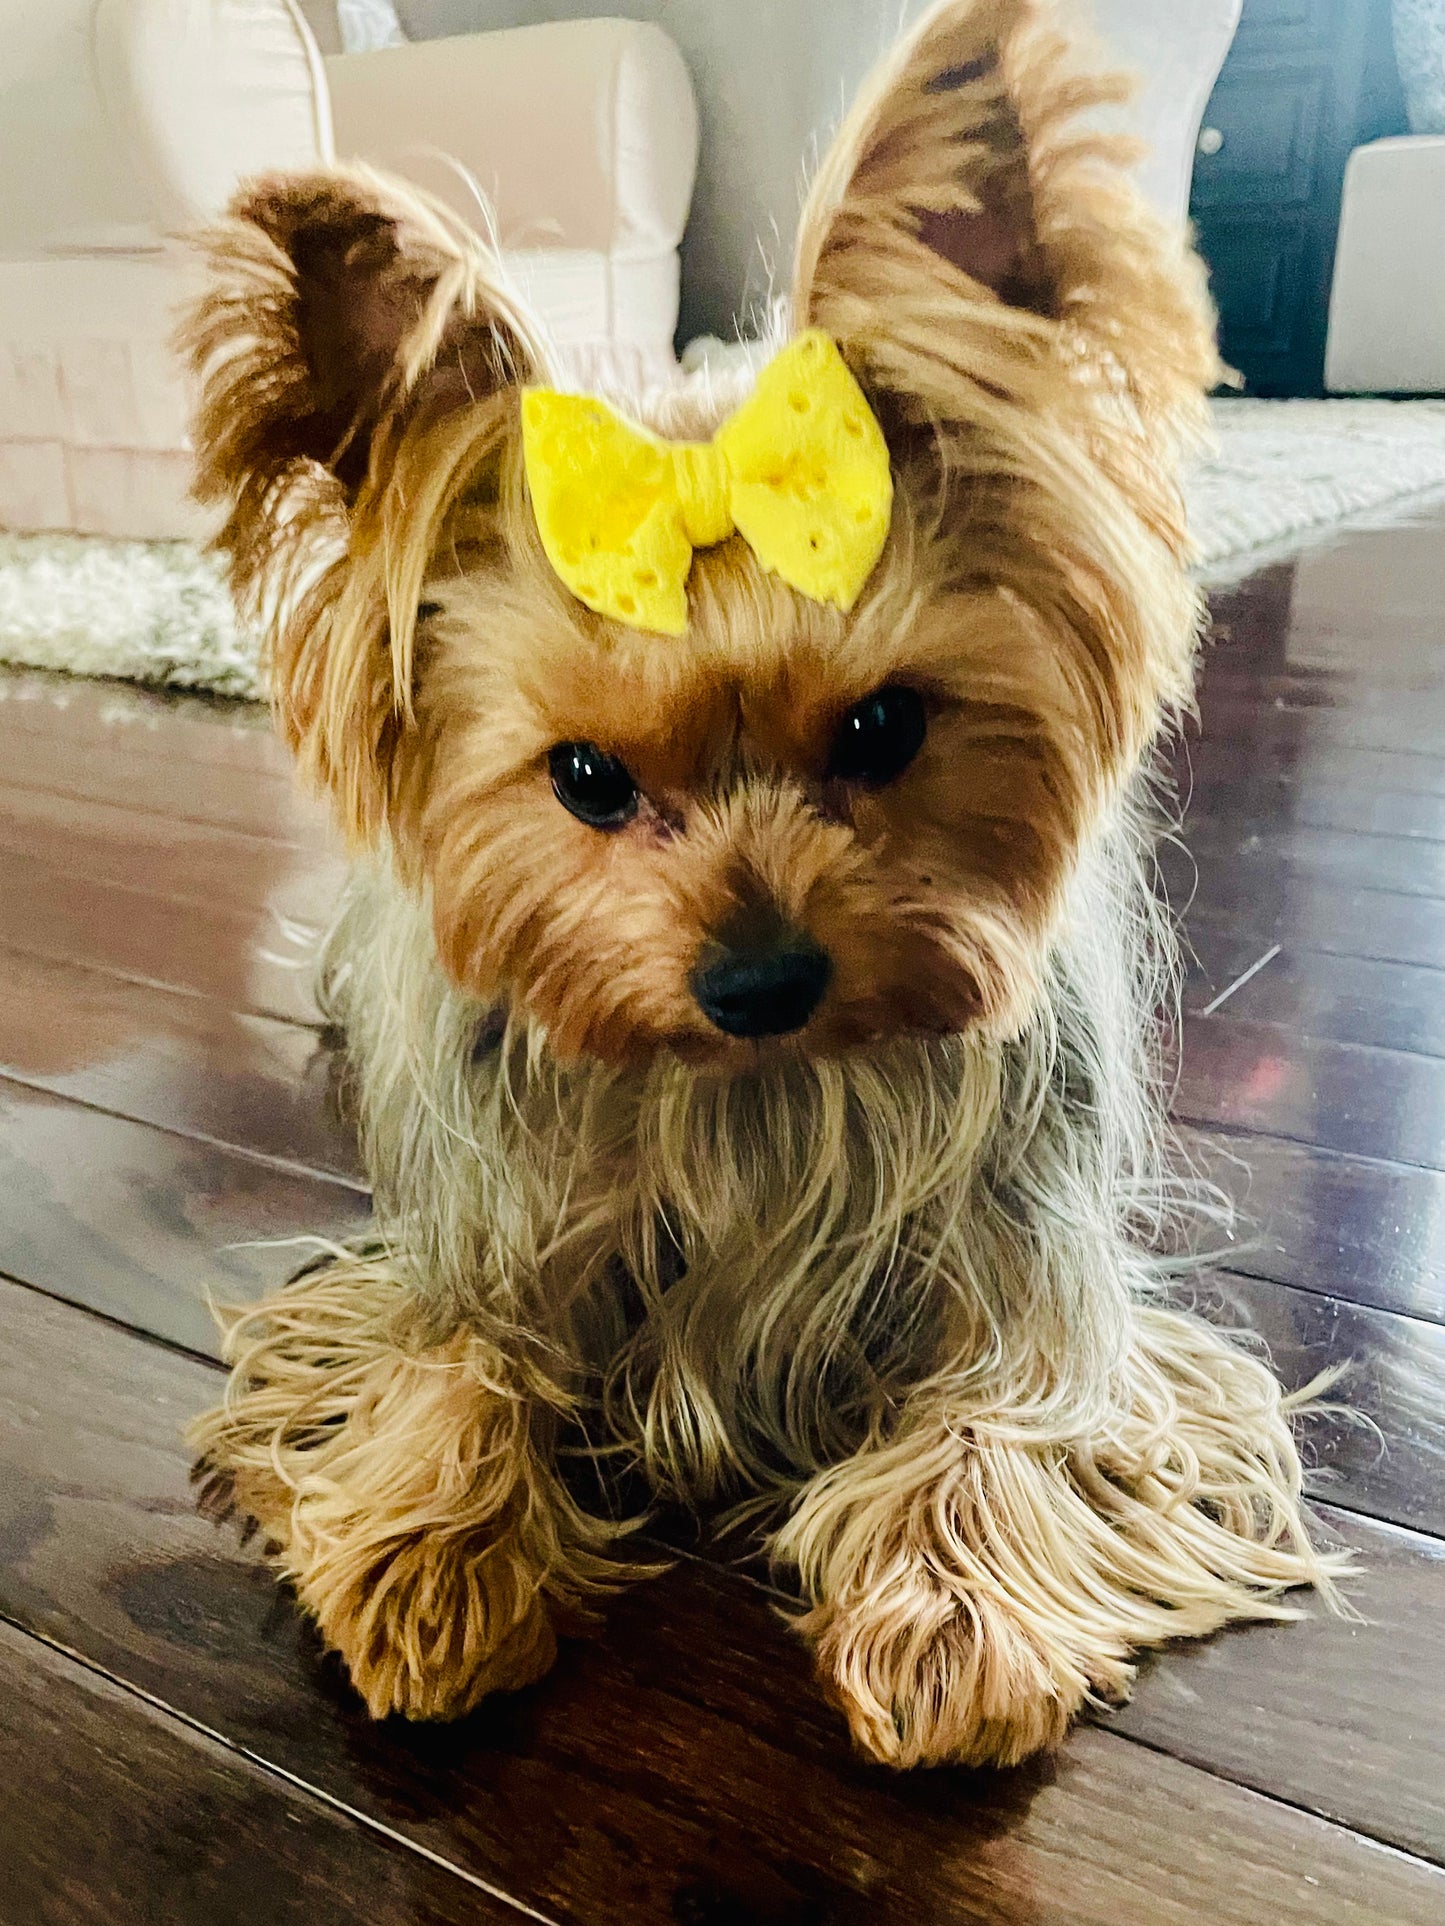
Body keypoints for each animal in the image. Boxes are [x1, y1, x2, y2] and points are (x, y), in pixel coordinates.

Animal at [183, 0, 1348, 1771]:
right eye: (587, 778)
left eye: (882, 726)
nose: (759, 984)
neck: (753, 1088)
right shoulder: (454, 1245)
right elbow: (451, 1353)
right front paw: (430, 1557)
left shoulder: (1051, 1288)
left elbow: (1016, 1405)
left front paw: (954, 1611)